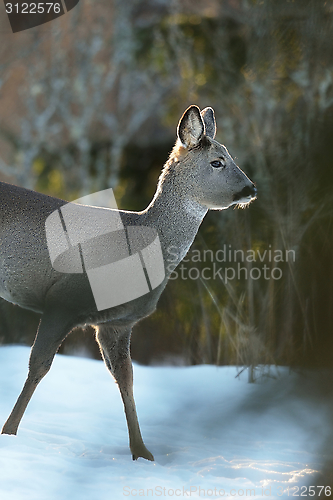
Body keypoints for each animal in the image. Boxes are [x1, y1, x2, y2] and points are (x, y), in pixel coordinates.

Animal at [0, 104, 255, 460]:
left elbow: (126, 378)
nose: (251, 189)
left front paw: (142, 452)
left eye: (229, 155)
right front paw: (9, 433)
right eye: (217, 161)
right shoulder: (62, 301)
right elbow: (39, 365)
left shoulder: (117, 323)